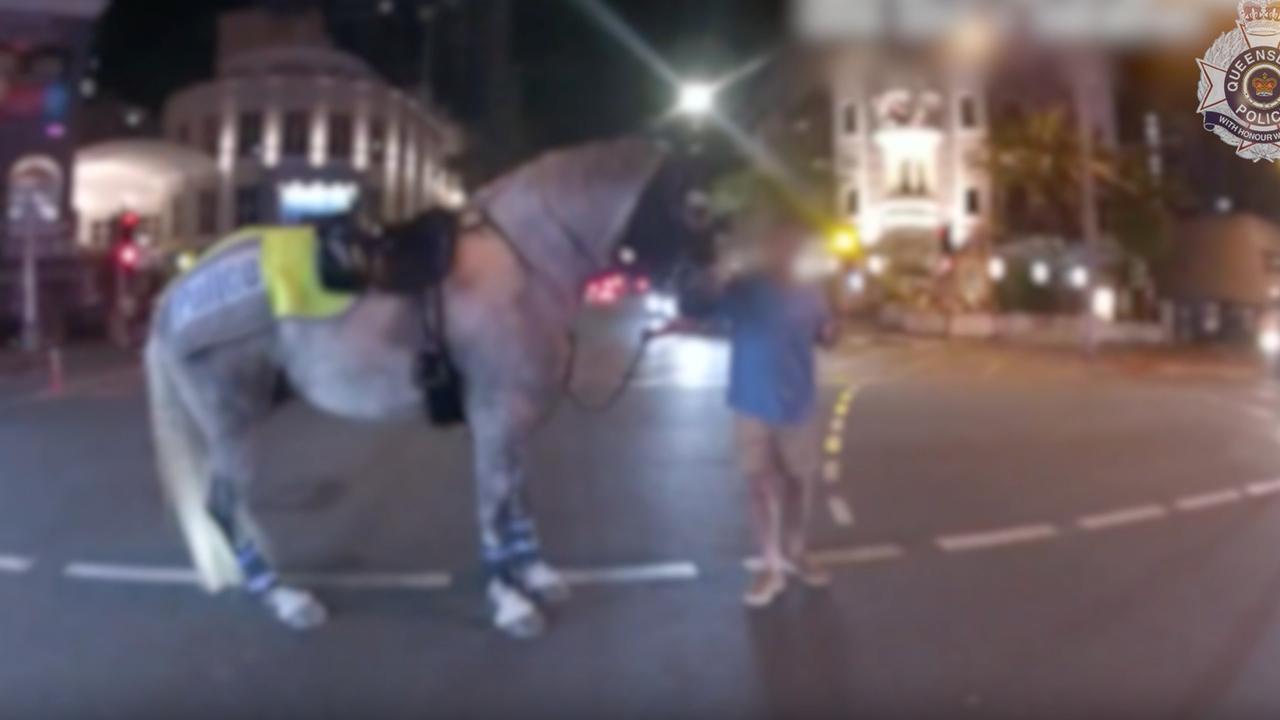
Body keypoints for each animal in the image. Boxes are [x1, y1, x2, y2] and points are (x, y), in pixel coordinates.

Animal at [143, 137, 718, 638]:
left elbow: (518, 499)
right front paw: (510, 602)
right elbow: (495, 507)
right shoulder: (496, 417)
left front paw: (534, 575)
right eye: (689, 209)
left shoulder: (514, 420)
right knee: (223, 506)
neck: (524, 263)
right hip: (232, 419)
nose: (701, 297)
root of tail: (176, 294)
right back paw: (285, 599)